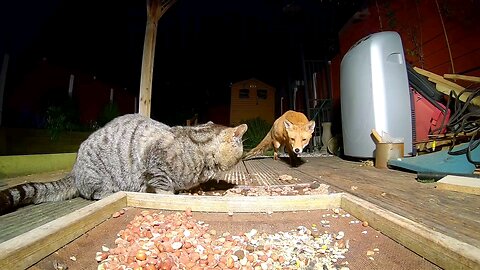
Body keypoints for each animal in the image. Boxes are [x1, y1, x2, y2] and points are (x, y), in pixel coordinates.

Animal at [0, 114, 248, 215]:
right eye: (241, 149)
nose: (244, 156)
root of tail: (74, 170)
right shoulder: (155, 164)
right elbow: (164, 187)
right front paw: (172, 196)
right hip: (98, 176)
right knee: (93, 192)